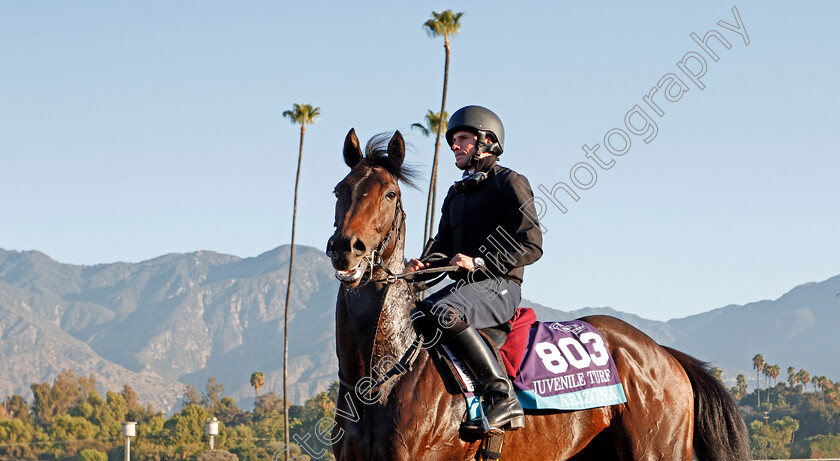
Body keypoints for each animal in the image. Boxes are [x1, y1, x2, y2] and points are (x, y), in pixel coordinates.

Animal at [324, 127, 752, 458]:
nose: (346, 248)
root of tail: (665, 355)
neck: (382, 373)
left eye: (390, 194)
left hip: (656, 452)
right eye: (339, 190)